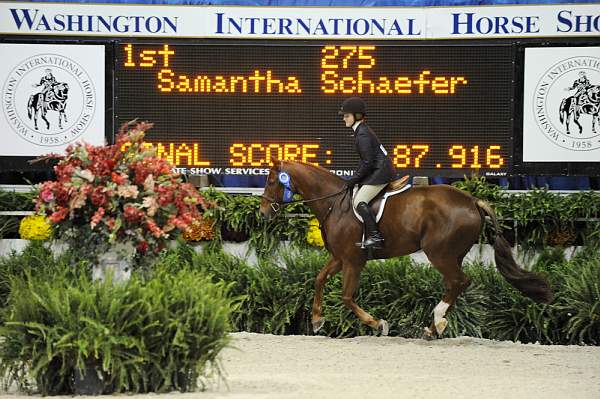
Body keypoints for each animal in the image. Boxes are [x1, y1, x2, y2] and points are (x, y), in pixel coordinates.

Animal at [258, 161, 552, 340]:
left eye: (272, 181)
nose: (262, 213)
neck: (334, 204)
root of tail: (472, 200)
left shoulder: (353, 261)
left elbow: (346, 297)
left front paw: (378, 324)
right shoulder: (340, 258)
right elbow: (319, 279)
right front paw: (317, 320)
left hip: (439, 253)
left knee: (460, 281)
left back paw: (437, 321)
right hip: (453, 254)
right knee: (454, 284)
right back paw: (433, 327)